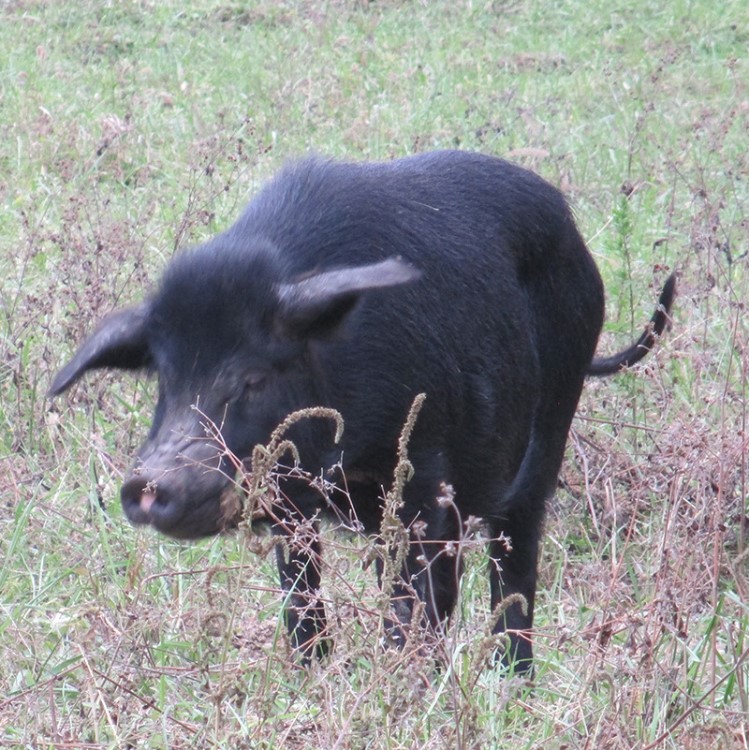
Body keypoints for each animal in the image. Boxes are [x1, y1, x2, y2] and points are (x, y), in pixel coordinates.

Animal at [49, 150, 676, 672]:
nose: (148, 484)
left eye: (253, 377)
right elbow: (301, 597)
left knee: (513, 562)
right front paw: (313, 675)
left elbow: (419, 595)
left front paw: (405, 678)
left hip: (549, 429)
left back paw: (511, 679)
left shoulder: (424, 474)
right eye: (166, 379)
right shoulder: (293, 507)